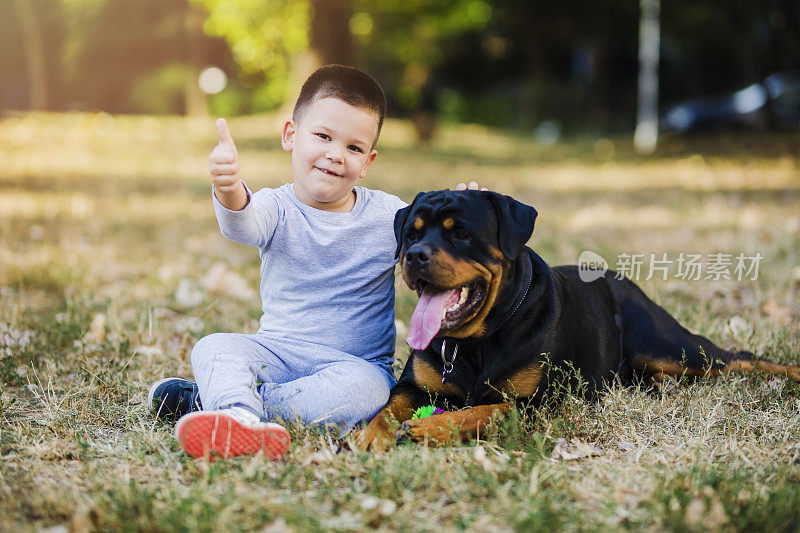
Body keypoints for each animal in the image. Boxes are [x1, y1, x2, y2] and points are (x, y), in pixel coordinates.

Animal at [358, 190, 800, 448]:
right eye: (411, 234)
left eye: (460, 234)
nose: (414, 256)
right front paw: (369, 435)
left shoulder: (536, 402)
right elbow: (388, 405)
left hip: (668, 345)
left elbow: (487, 410)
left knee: (736, 358)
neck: (476, 341)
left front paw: (432, 428)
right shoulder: (415, 386)